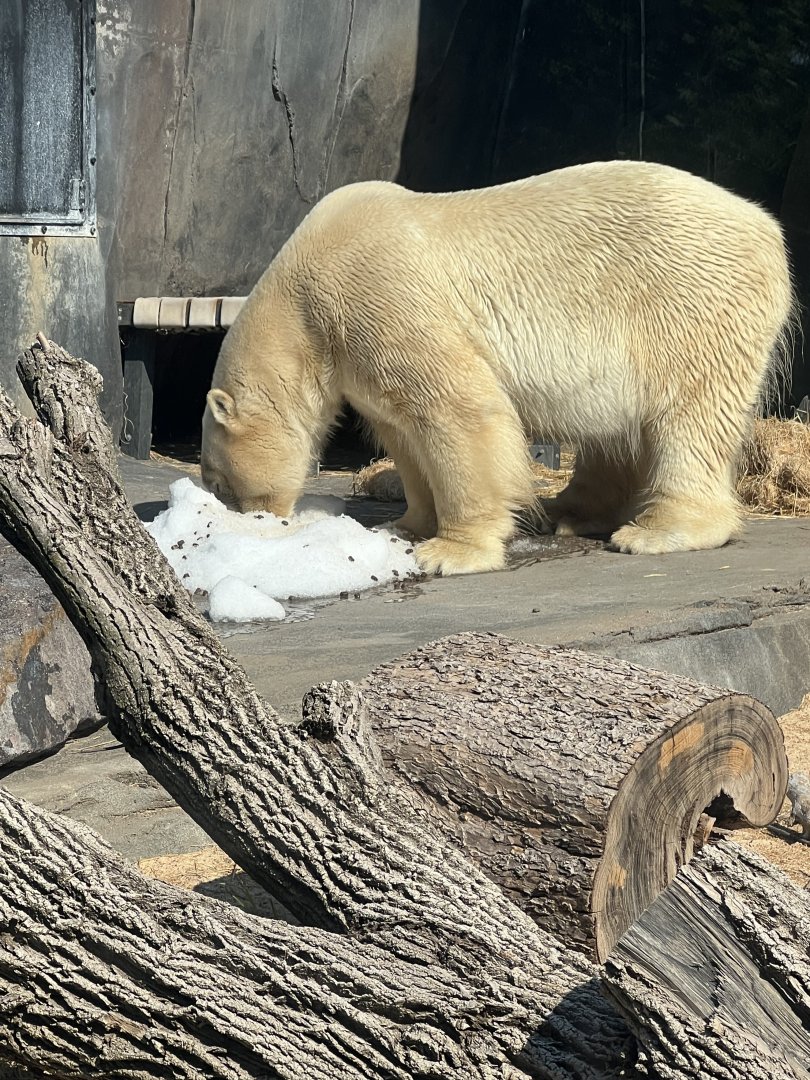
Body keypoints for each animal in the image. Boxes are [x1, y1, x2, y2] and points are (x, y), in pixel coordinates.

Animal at [201, 160, 794, 576]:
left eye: (217, 481)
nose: (253, 518)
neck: (302, 304)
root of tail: (767, 226)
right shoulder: (357, 351)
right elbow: (402, 429)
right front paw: (406, 525)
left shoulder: (377, 291)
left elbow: (460, 410)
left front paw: (450, 551)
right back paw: (570, 512)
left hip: (688, 302)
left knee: (691, 414)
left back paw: (657, 530)